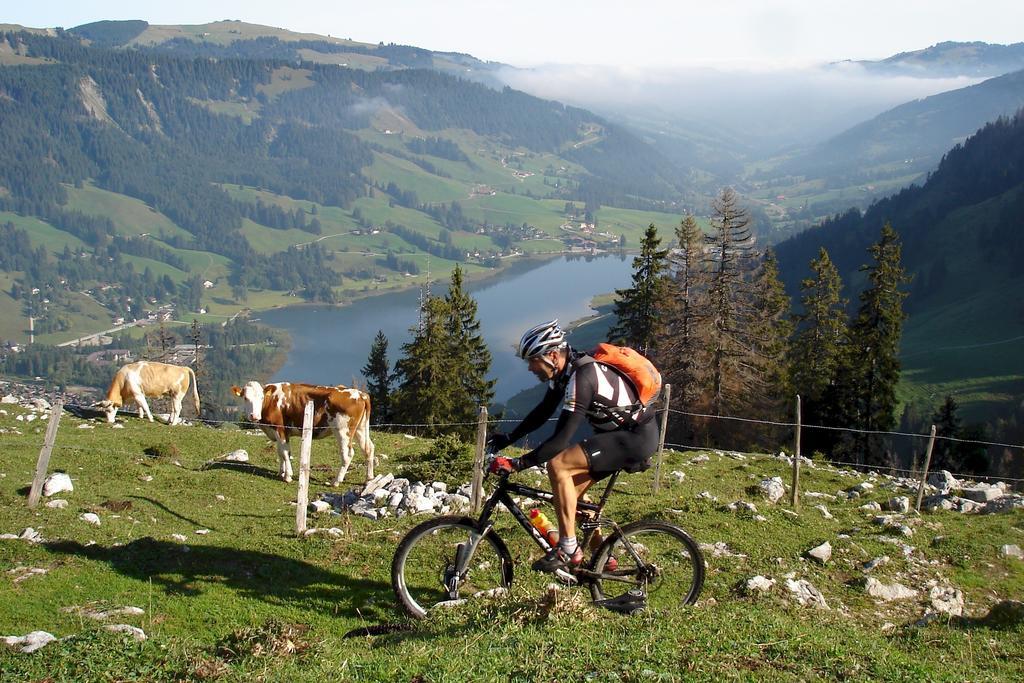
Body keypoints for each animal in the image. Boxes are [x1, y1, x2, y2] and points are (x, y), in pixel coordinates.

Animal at [232, 378, 376, 485]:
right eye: (245, 398)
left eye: (261, 398)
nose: (254, 416)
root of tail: (361, 394)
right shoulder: (277, 431)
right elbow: (280, 452)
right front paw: (281, 472)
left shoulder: (280, 428)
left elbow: (285, 452)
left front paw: (288, 476)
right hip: (360, 428)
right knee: (368, 448)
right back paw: (369, 478)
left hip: (342, 430)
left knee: (348, 454)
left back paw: (336, 481)